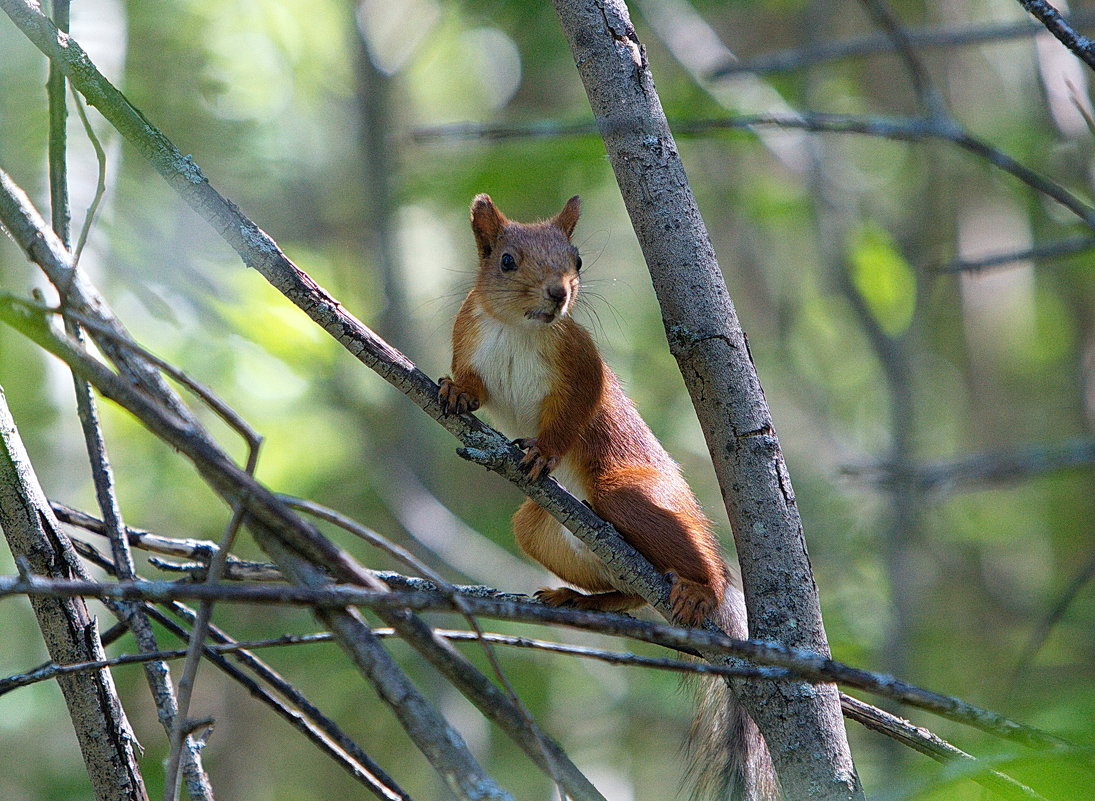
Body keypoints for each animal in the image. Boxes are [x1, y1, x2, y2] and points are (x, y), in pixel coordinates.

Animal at [435, 195, 779, 800]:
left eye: (576, 259)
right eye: (505, 260)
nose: (559, 293)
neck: (516, 328)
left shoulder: (581, 362)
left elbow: (575, 414)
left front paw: (544, 452)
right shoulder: (468, 338)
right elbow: (472, 386)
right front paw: (454, 392)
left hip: (632, 494)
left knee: (686, 558)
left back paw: (702, 587)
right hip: (541, 529)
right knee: (628, 591)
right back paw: (582, 601)